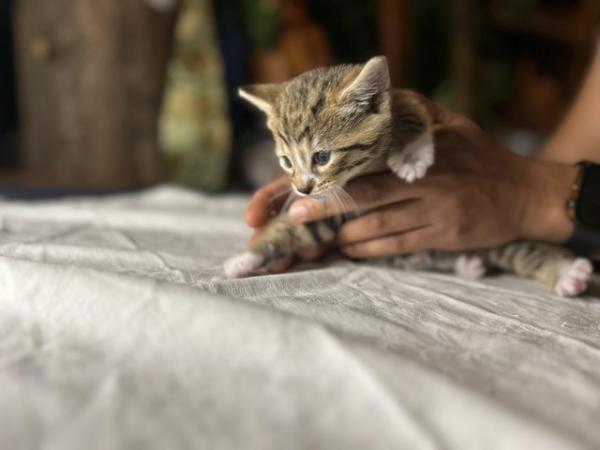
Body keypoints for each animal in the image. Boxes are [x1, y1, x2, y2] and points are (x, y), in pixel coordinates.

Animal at [223, 56, 592, 298]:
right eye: (286, 162)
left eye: (322, 157)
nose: (302, 189)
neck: (365, 170)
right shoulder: (333, 214)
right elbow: (290, 230)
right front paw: (245, 259)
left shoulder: (410, 99)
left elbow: (412, 111)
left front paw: (411, 154)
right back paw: (469, 265)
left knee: (527, 251)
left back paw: (568, 273)